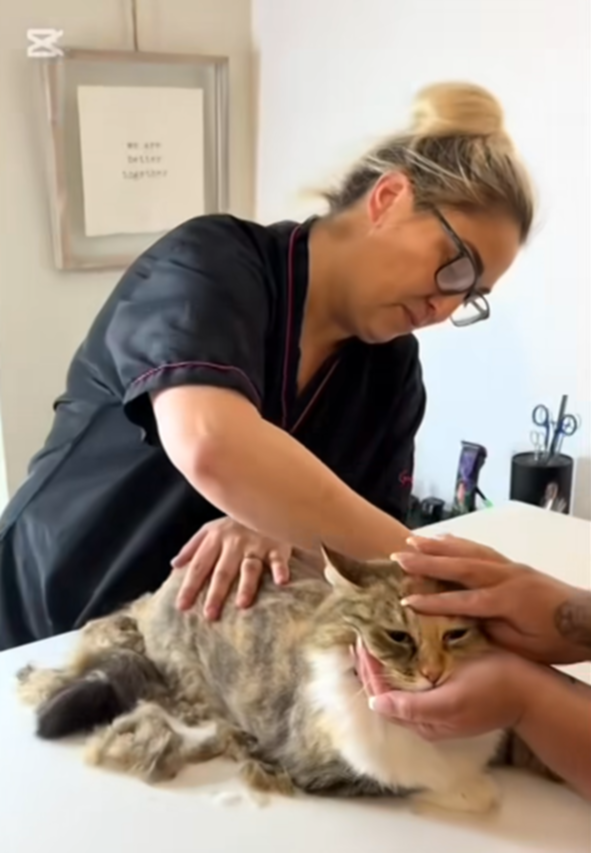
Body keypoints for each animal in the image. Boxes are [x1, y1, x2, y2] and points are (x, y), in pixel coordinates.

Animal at [16, 544, 544, 812]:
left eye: (456, 634)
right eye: (398, 636)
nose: (434, 677)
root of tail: (158, 593)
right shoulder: (320, 768)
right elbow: (407, 780)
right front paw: (473, 791)